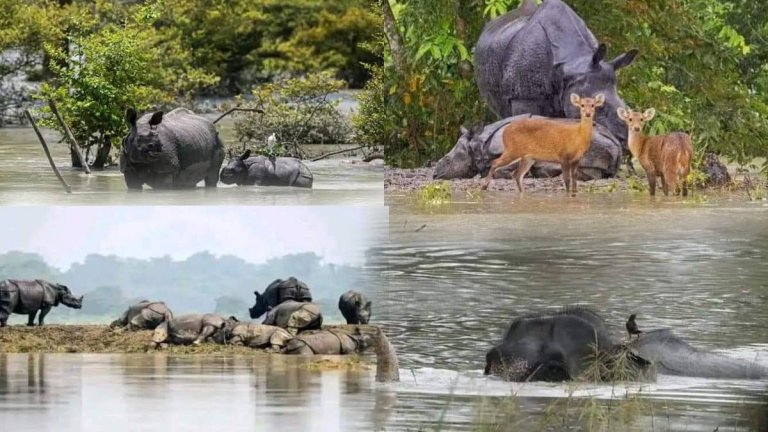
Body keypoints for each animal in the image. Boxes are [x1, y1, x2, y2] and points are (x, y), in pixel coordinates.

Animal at [480, 94, 608, 197]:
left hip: (528, 157)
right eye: (582, 105)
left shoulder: (577, 158)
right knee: (495, 162)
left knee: (516, 174)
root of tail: (504, 131)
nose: (588, 113)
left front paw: (574, 195)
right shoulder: (563, 156)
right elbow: (567, 180)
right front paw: (567, 196)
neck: (577, 137)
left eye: (593, 105)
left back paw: (522, 193)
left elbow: (574, 179)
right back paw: (484, 186)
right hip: (512, 149)